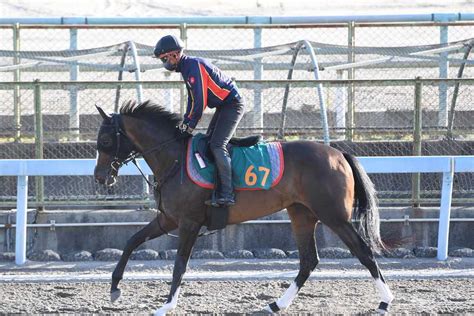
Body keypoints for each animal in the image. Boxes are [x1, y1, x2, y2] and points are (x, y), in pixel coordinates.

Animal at [94, 100, 394, 314]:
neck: (174, 158)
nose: (100, 177)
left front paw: (166, 305)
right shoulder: (167, 219)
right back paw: (276, 304)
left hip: (333, 215)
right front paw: (114, 288)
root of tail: (338, 153)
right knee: (309, 260)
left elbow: (179, 264)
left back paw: (385, 301)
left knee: (363, 251)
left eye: (106, 141)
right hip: (302, 214)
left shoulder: (189, 223)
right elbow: (132, 241)